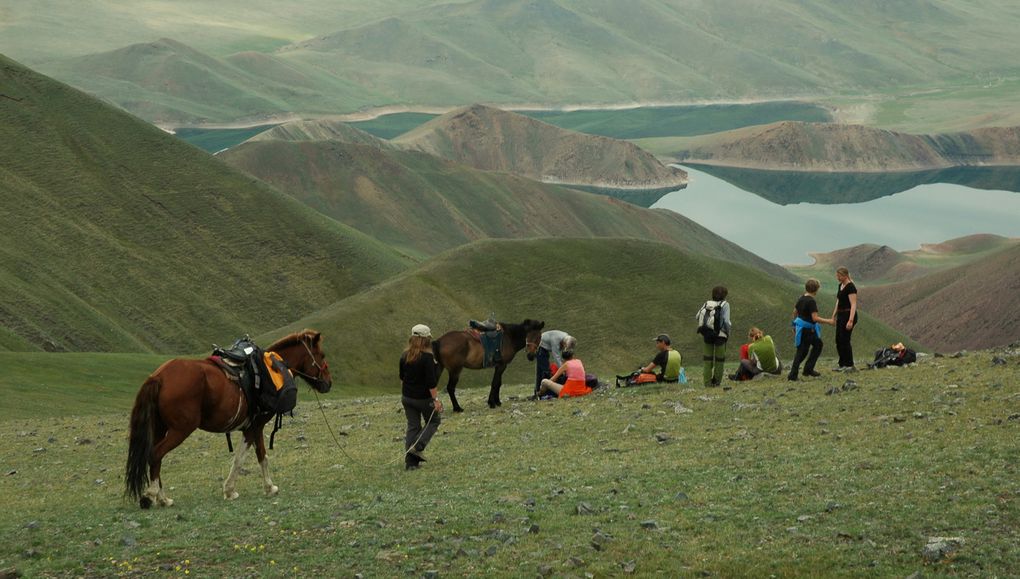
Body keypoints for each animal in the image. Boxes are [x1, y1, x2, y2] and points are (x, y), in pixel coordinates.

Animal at [122, 328, 330, 509]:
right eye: (322, 355)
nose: (328, 383)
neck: (270, 368)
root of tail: (158, 377)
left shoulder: (254, 427)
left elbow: (261, 455)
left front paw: (268, 488)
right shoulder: (254, 426)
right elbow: (242, 458)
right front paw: (232, 490)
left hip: (159, 428)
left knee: (156, 459)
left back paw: (162, 498)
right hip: (181, 429)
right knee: (156, 454)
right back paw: (153, 496)